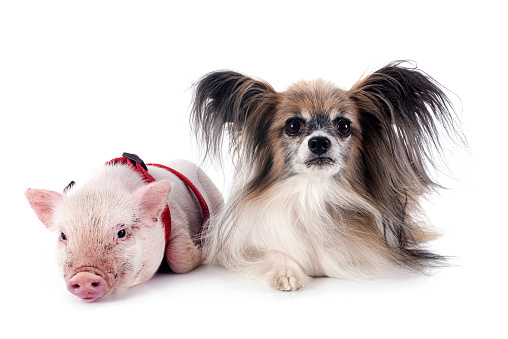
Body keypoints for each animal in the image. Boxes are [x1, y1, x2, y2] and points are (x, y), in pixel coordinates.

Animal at [24, 154, 222, 302]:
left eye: (121, 232)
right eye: (63, 235)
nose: (84, 276)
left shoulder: (178, 219)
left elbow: (178, 258)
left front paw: (202, 252)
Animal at [190, 62, 464, 290]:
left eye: (343, 126)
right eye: (293, 126)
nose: (319, 142)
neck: (312, 192)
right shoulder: (245, 248)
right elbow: (273, 254)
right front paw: (287, 273)